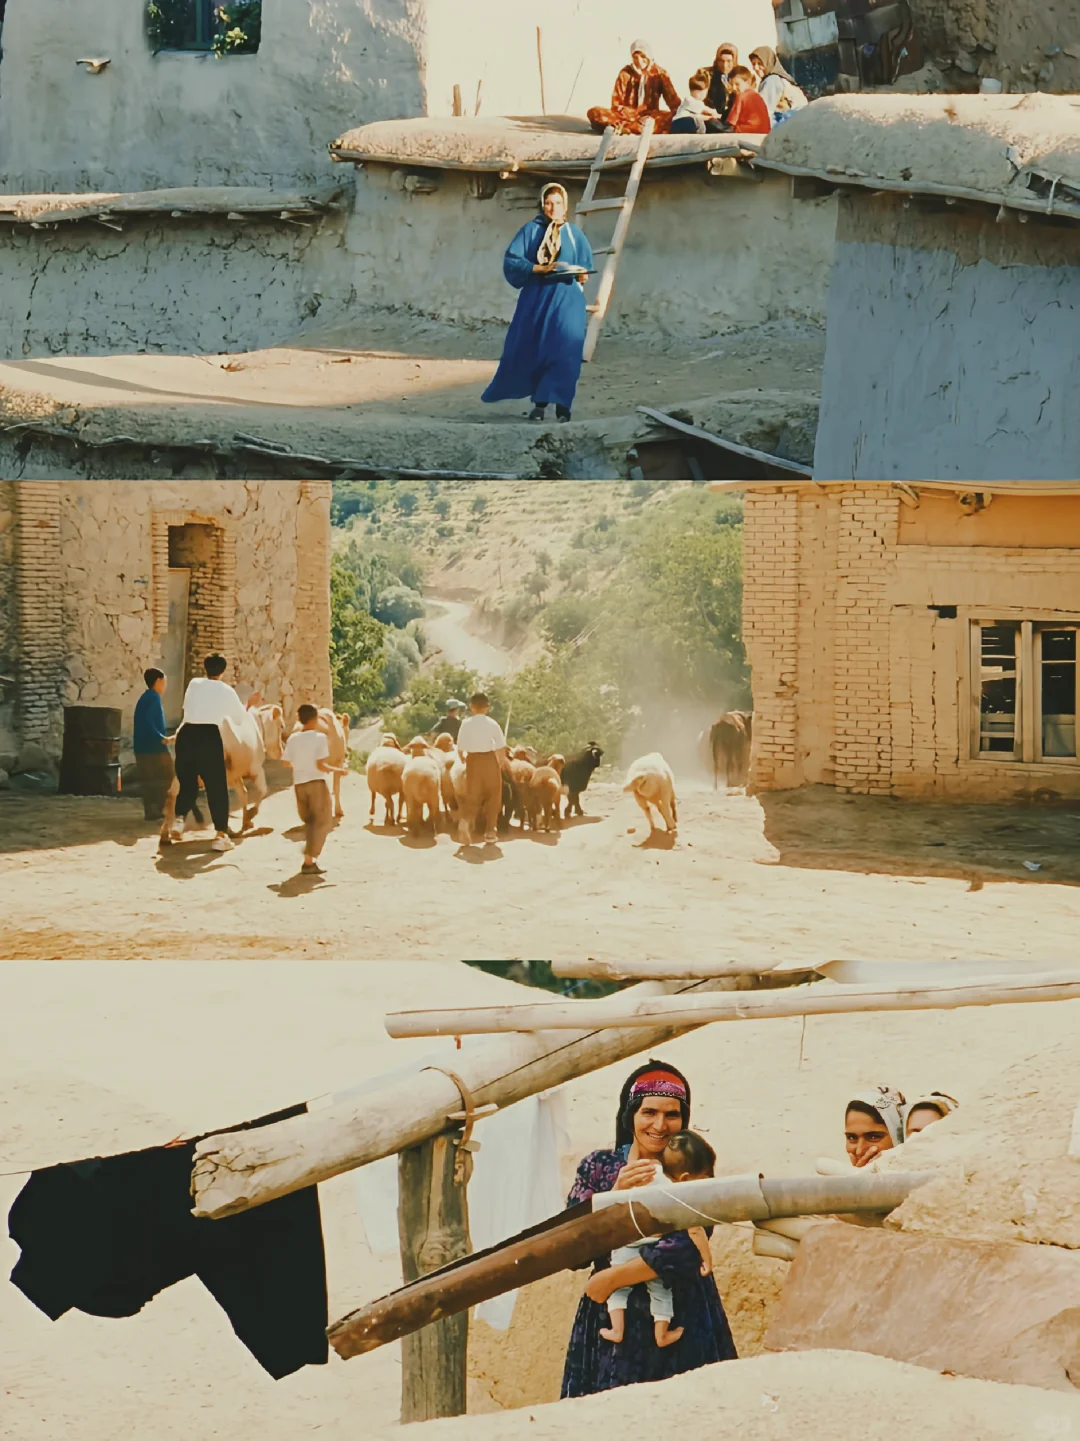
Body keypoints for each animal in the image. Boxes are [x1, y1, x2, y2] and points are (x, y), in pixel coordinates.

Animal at [159, 700, 286, 841]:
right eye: (281, 726)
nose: (281, 750)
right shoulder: (256, 769)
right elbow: (263, 790)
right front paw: (250, 815)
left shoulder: (235, 776)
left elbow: (243, 794)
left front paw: (246, 821)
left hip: (183, 772)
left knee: (173, 795)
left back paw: (167, 834)